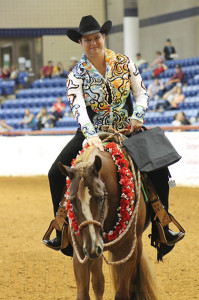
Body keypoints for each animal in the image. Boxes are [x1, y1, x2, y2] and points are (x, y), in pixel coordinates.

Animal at [58, 138, 158, 300]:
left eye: (100, 197)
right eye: (71, 201)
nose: (92, 247)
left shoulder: (127, 251)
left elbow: (122, 293)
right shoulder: (80, 252)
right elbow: (85, 292)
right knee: (98, 282)